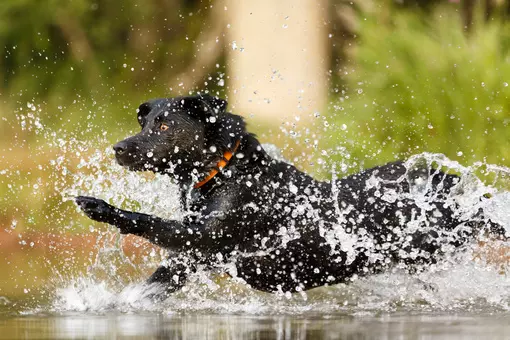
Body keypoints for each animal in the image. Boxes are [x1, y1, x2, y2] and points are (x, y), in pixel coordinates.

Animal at [75, 93, 502, 294]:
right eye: (144, 122)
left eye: (164, 126)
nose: (118, 148)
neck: (227, 171)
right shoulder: (192, 259)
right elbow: (151, 286)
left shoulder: (211, 236)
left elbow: (148, 221)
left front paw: (99, 206)